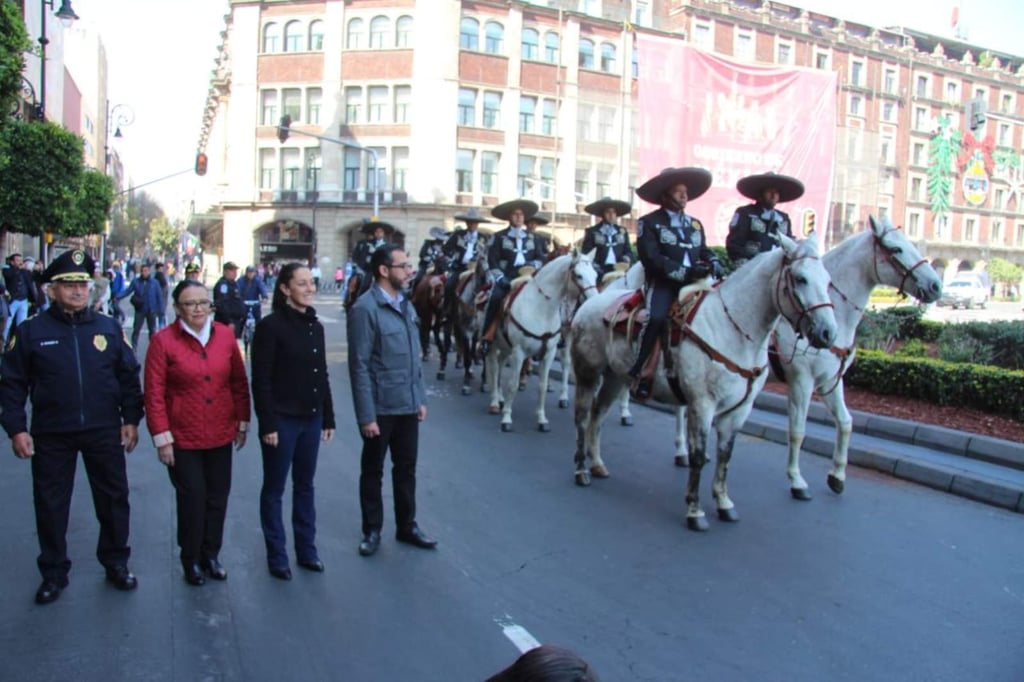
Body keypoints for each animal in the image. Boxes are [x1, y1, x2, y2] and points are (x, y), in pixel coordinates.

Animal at [487, 249, 598, 430]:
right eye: (579, 275)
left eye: (595, 275)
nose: (594, 301)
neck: (541, 308)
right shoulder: (519, 352)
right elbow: (513, 384)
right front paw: (507, 418)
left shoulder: (549, 353)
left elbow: (542, 386)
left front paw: (541, 419)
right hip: (493, 344)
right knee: (494, 367)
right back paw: (495, 401)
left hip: (506, 346)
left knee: (500, 363)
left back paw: (500, 398)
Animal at [573, 236, 835, 528]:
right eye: (801, 279)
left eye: (827, 280)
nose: (828, 333)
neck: (734, 331)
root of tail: (589, 303)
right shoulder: (702, 404)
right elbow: (698, 456)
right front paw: (695, 510)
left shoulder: (739, 410)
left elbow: (725, 454)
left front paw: (723, 502)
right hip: (588, 374)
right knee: (583, 417)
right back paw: (581, 470)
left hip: (615, 378)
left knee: (598, 415)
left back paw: (597, 463)